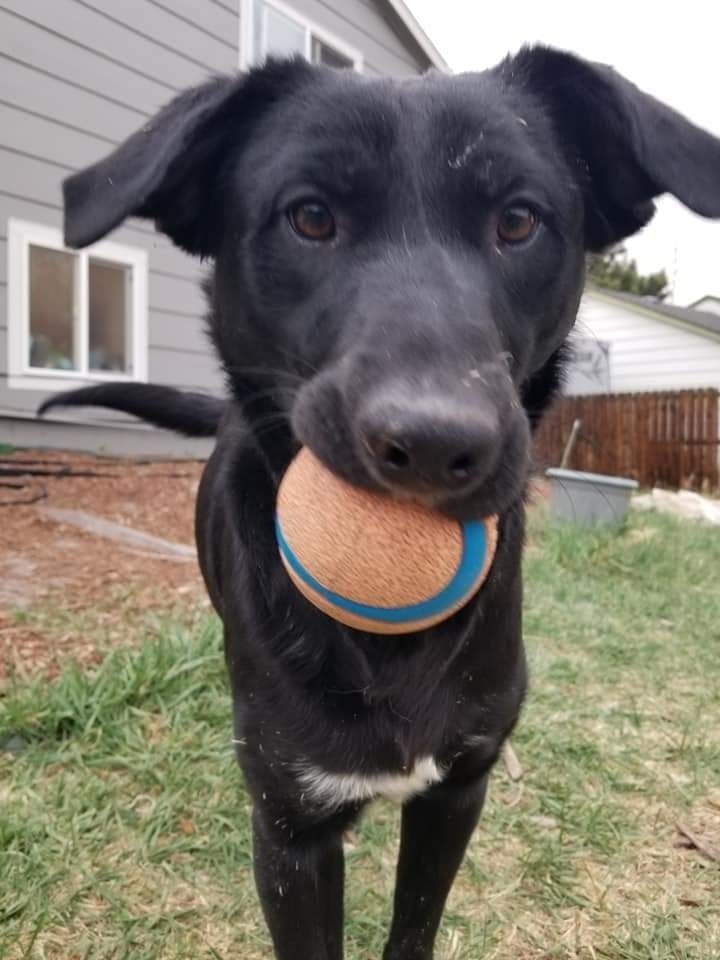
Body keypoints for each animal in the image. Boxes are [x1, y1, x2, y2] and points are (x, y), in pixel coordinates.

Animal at [40, 48, 720, 956]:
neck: (391, 649)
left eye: (518, 221)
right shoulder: (290, 829)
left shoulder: (459, 788)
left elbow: (415, 924)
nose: (432, 441)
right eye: (310, 217)